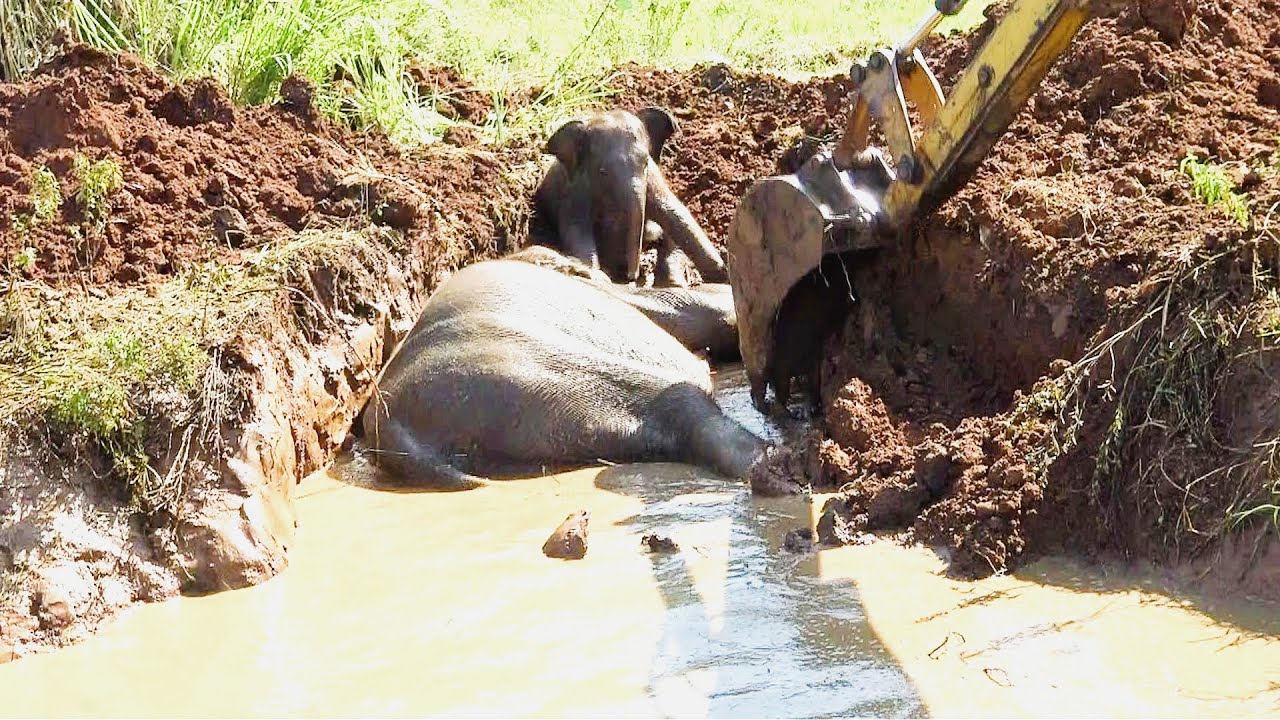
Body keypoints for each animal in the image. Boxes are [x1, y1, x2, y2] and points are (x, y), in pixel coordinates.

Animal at [533, 107, 729, 286]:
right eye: (603, 172)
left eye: (646, 163)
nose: (631, 277)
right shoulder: (575, 190)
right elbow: (576, 230)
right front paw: (598, 277)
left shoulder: (653, 179)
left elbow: (676, 215)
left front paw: (722, 274)